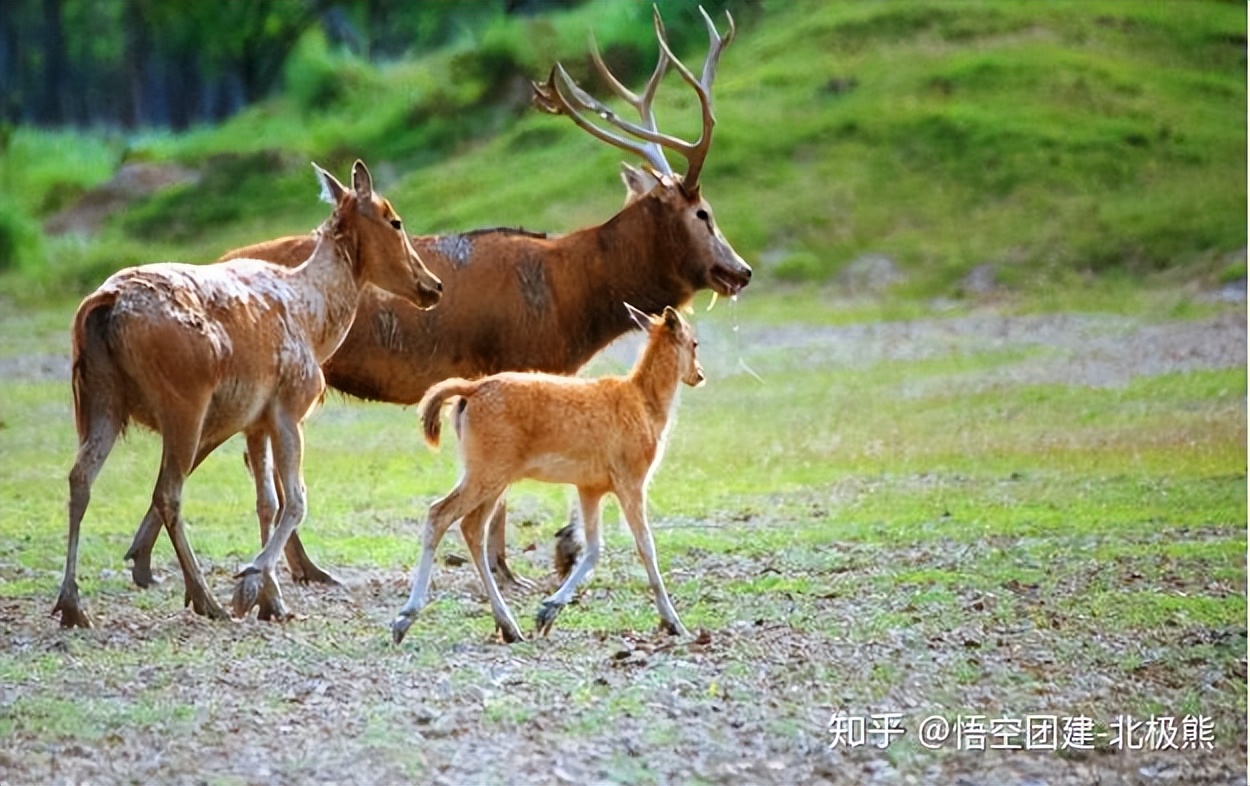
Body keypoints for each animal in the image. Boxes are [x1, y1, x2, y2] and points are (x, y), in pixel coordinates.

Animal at [53, 162, 445, 627]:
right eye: (394, 220)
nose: (434, 285)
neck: (316, 323)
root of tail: (104, 304)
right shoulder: (290, 405)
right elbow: (296, 500)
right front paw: (250, 580)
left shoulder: (254, 421)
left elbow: (266, 501)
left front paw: (271, 601)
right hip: (183, 401)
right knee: (167, 492)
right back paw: (205, 598)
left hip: (99, 398)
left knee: (80, 477)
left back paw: (72, 604)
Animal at [121, 6, 745, 594]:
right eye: (703, 213)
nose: (740, 270)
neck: (571, 301)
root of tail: (222, 259)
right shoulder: (514, 359)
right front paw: (515, 563)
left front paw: (537, 555)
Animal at [390, 303, 705, 639]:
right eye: (694, 343)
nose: (699, 375)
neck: (646, 406)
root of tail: (471, 389)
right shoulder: (632, 480)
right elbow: (646, 545)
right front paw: (675, 623)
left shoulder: (590, 486)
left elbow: (593, 548)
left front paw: (548, 612)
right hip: (486, 472)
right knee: (439, 513)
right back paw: (405, 618)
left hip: (493, 477)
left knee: (472, 527)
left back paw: (509, 626)